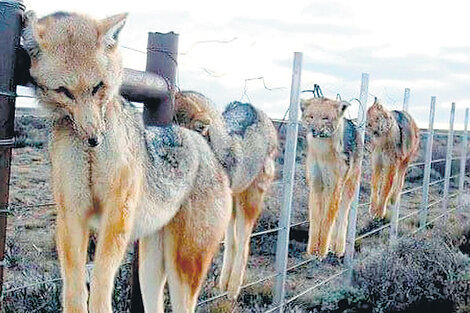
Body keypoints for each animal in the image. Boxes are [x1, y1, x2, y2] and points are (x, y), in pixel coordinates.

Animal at [23, 10, 232, 312]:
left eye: (98, 87)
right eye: (64, 91)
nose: (94, 138)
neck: (91, 156)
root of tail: (201, 142)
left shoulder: (117, 213)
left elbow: (101, 281)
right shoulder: (72, 213)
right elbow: (74, 287)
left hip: (182, 271)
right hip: (149, 269)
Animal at [173, 90, 278, 298]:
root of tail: (252, 107)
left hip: (247, 204)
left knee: (244, 244)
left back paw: (233, 288)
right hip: (232, 208)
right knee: (233, 243)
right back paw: (223, 282)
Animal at [302, 97, 364, 256]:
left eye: (325, 118)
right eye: (311, 117)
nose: (314, 130)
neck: (322, 152)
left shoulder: (335, 186)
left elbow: (327, 221)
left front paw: (322, 251)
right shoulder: (316, 185)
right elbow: (316, 220)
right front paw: (312, 249)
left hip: (347, 188)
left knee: (342, 217)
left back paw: (338, 247)